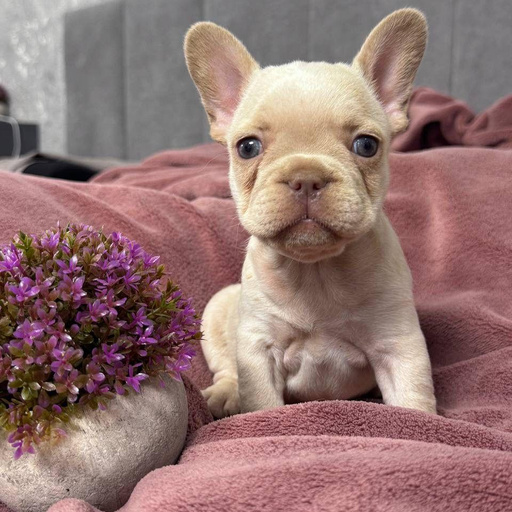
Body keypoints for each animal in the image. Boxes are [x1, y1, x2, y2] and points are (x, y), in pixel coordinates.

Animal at [185, 8, 437, 418]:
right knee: (226, 368)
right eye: (247, 147)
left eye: (366, 145)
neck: (316, 271)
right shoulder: (258, 350)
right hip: (219, 307)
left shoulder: (399, 345)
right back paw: (224, 394)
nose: (305, 177)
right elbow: (262, 401)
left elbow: (413, 401)